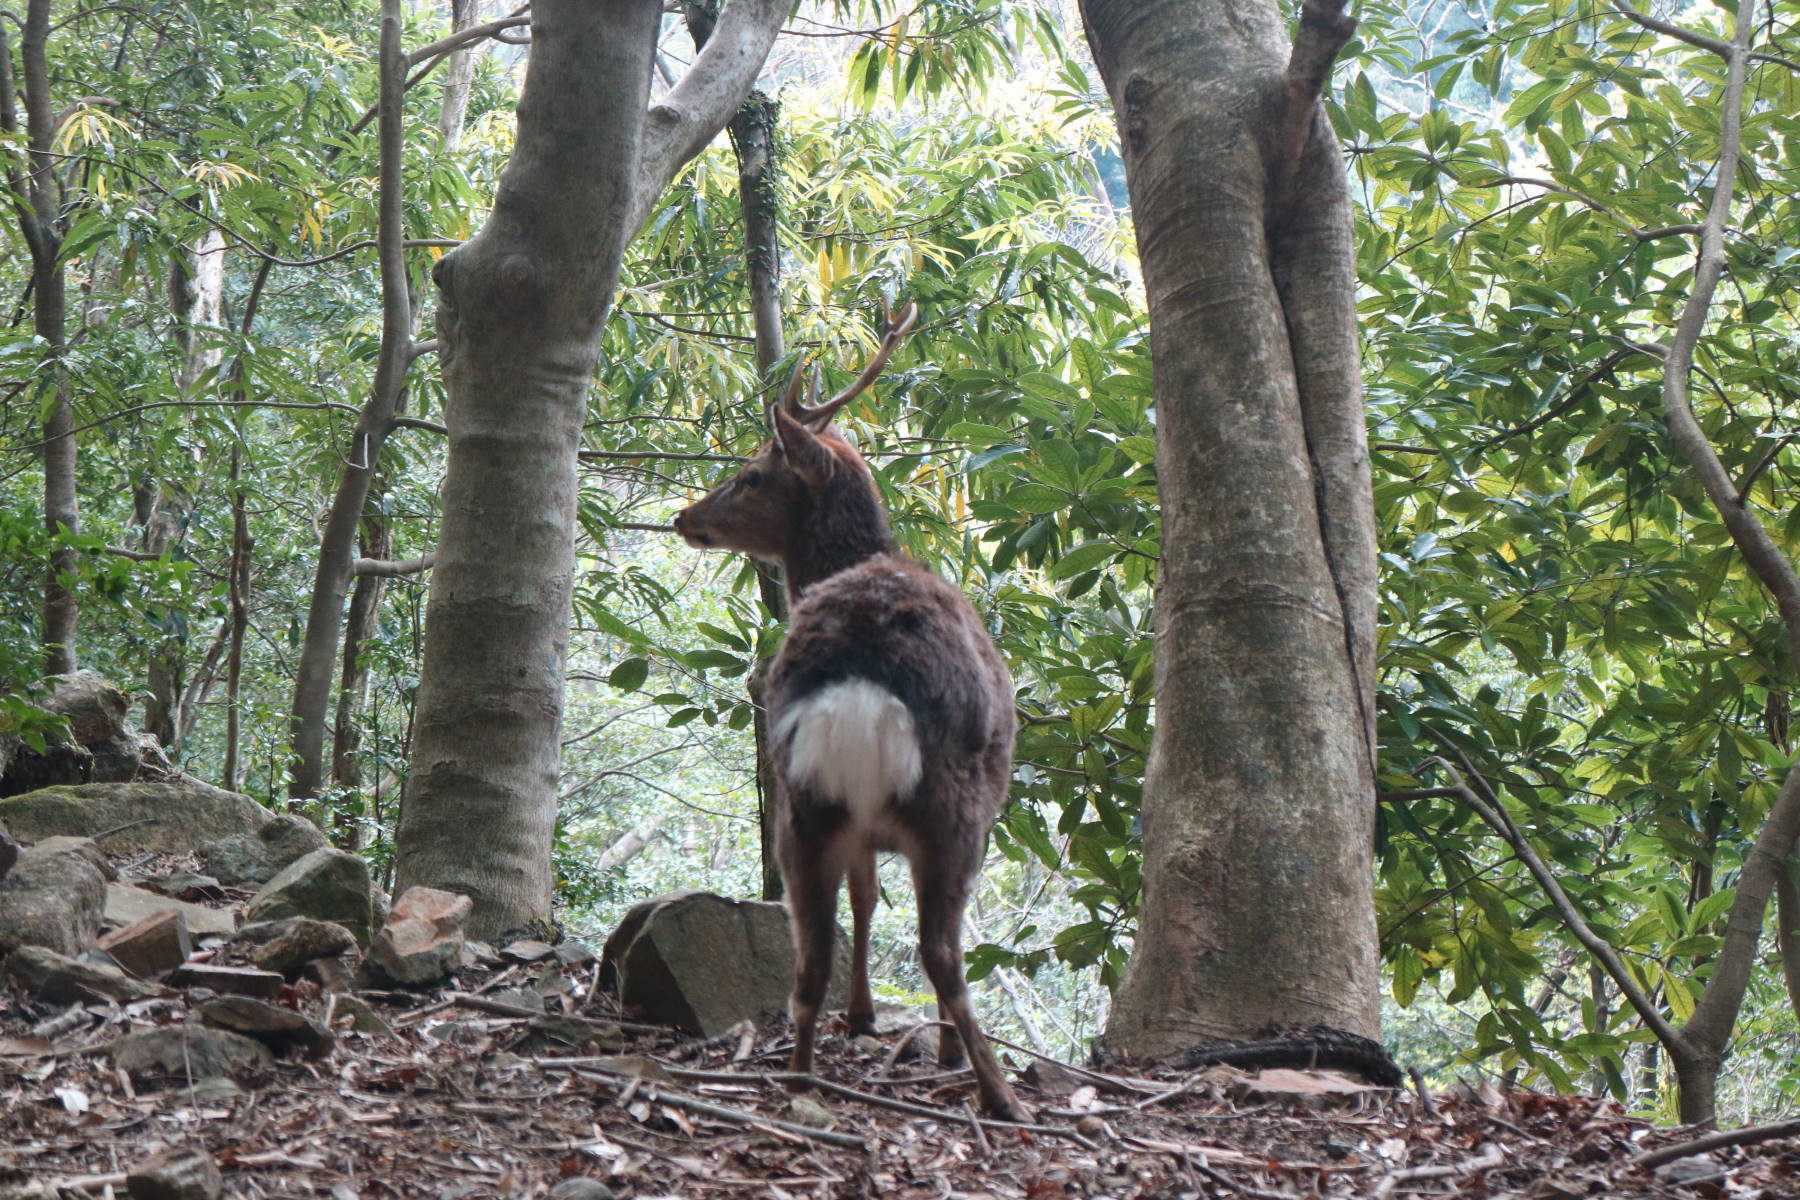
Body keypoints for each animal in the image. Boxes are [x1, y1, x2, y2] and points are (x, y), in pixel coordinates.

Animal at [669, 302, 1022, 1129]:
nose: (684, 515)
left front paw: (859, 1017)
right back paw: (996, 1093)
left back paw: (800, 1080)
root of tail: (857, 677)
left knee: (812, 951)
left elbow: (862, 899)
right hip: (954, 805)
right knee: (941, 951)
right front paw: (908, 1036)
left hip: (801, 802)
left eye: (751, 474)